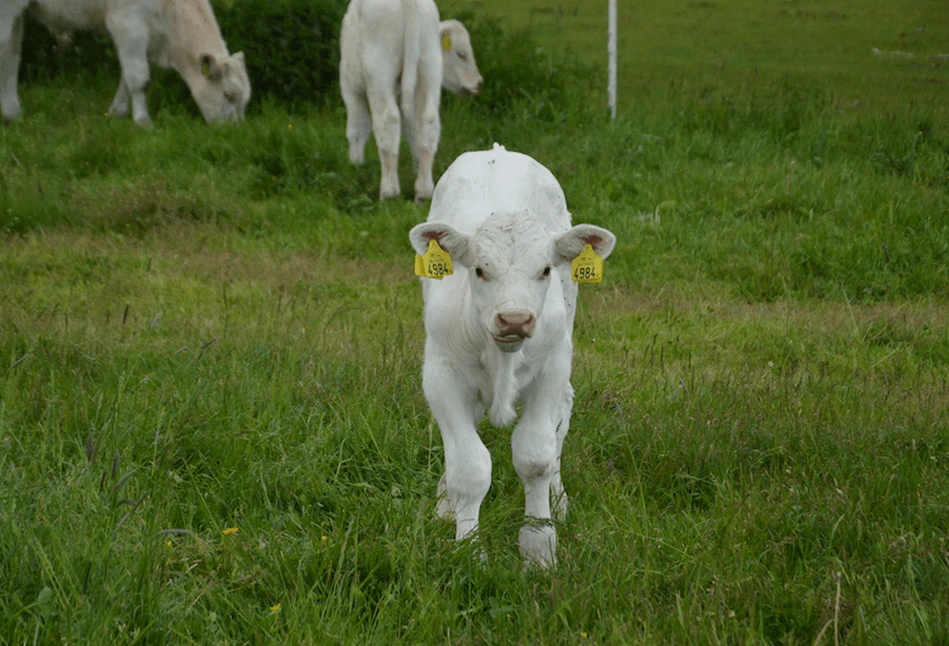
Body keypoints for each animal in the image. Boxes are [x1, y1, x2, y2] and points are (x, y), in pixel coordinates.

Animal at [0, 0, 250, 124]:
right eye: (228, 95)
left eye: (245, 101)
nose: (235, 131)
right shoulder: (129, 25)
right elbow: (139, 79)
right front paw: (142, 121)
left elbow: (127, 77)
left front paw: (117, 112)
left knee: (11, 56)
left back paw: (12, 114)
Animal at [336, 0, 482, 201]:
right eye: (461, 54)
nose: (479, 82)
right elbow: (412, 131)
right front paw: (416, 168)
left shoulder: (349, 88)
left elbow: (357, 128)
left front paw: (356, 165)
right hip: (429, 69)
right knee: (428, 121)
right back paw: (424, 189)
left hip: (379, 73)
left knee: (388, 121)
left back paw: (389, 191)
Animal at [410, 146, 620, 568]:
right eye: (478, 269)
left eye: (545, 269)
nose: (515, 319)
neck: (501, 354)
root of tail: (497, 151)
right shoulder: (442, 375)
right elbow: (470, 466)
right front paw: (469, 548)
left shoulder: (551, 369)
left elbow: (536, 457)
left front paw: (539, 548)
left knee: (561, 420)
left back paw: (558, 498)